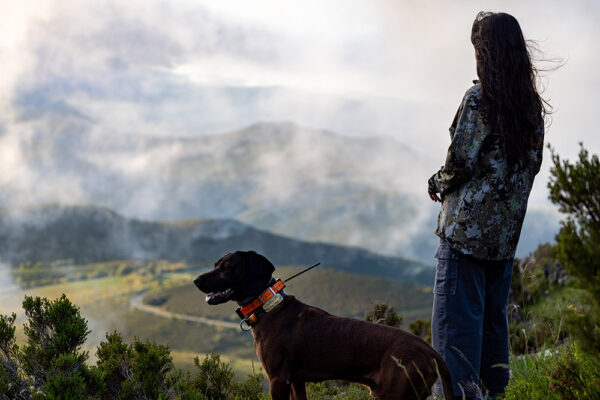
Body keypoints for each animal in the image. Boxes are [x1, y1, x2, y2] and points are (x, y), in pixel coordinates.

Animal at [195, 252, 452, 398]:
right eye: (216, 264)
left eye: (227, 266)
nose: (196, 280)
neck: (268, 304)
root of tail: (431, 351)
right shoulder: (297, 381)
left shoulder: (277, 379)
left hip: (395, 395)